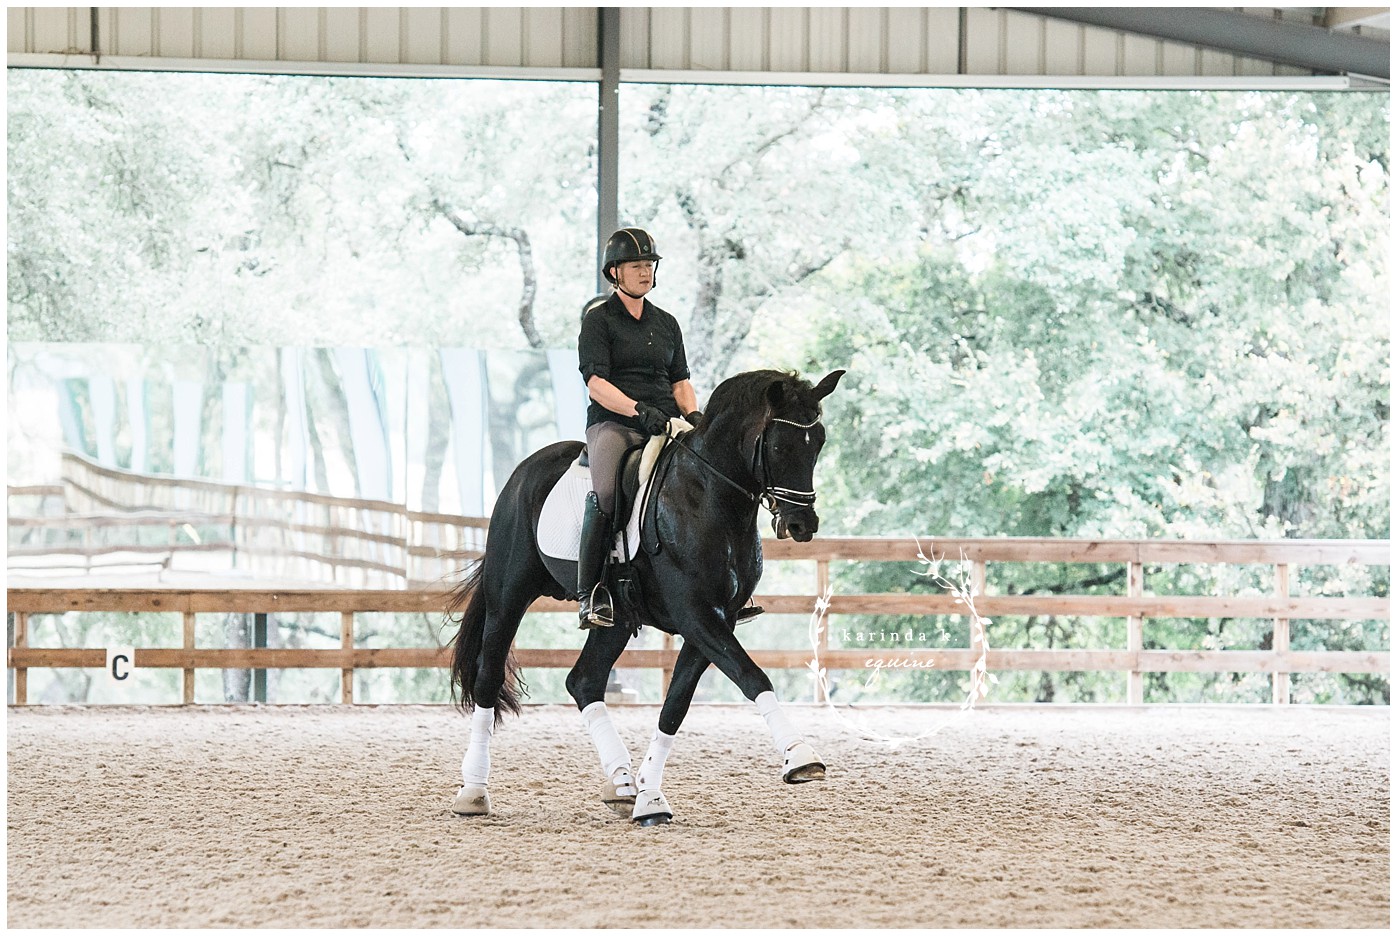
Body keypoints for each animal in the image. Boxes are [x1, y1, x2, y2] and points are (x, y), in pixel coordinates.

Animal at [445, 368, 844, 825]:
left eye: (819, 442)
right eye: (779, 445)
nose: (803, 524)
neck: (710, 497)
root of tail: (522, 473)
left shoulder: (715, 619)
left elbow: (675, 706)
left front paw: (650, 797)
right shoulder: (696, 615)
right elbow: (752, 676)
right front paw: (800, 755)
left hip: (615, 618)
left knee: (584, 681)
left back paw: (621, 783)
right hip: (508, 597)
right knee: (489, 677)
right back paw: (474, 791)